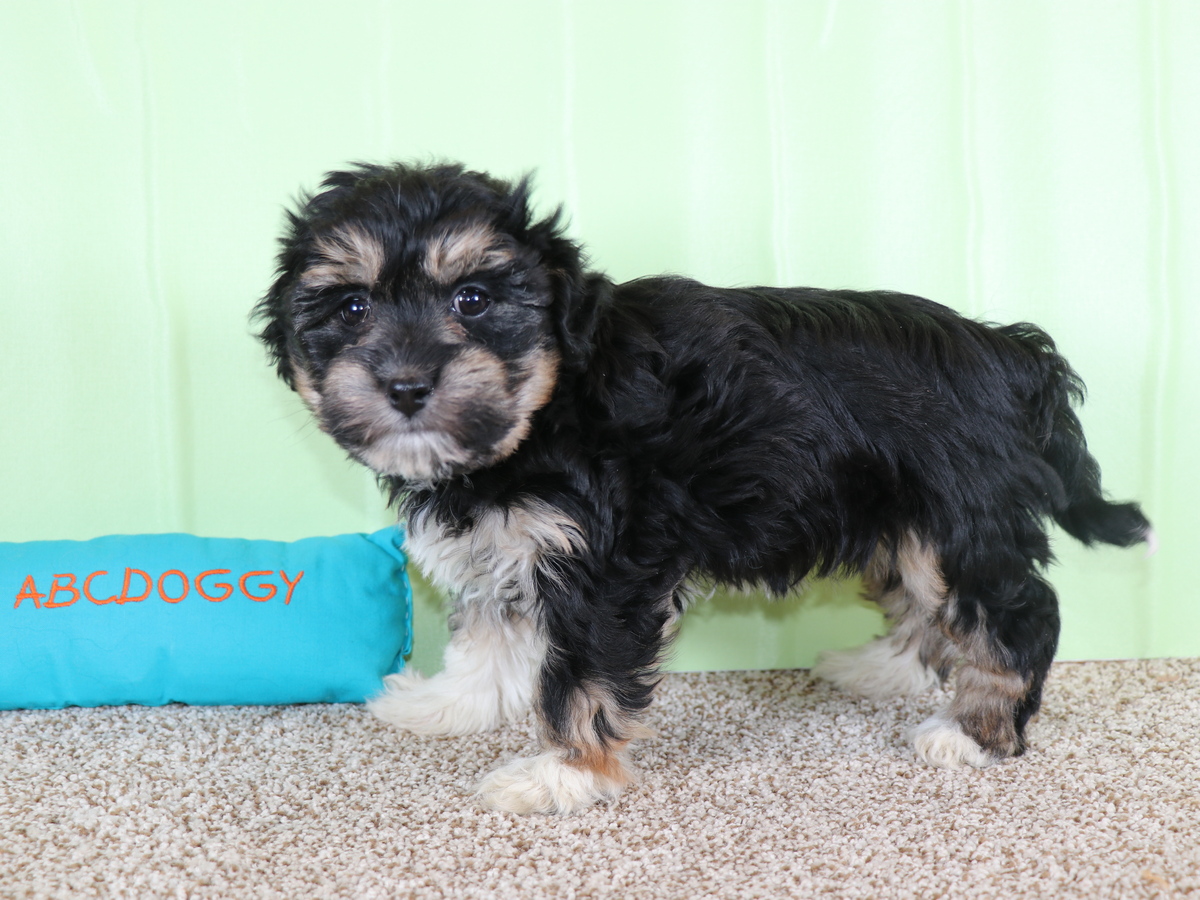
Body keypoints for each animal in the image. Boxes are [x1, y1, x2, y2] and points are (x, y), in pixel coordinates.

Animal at [254, 161, 1153, 815]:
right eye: (352, 307)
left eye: (473, 299)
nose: (406, 385)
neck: (549, 407)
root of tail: (1015, 353)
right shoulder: (506, 540)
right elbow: (490, 632)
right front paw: (452, 704)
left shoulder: (603, 562)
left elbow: (580, 678)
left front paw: (563, 774)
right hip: (899, 513)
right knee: (924, 601)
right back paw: (884, 669)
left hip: (957, 516)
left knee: (1015, 611)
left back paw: (974, 730)